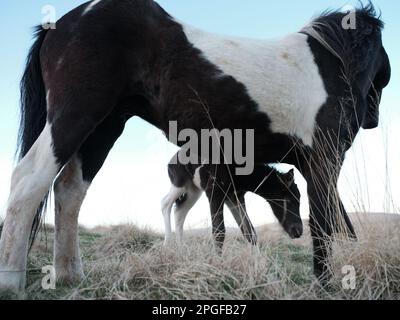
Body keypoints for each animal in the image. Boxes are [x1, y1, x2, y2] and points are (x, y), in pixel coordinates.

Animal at [161, 150, 302, 248]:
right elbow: (219, 232)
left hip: (193, 191)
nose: (298, 231)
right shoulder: (214, 192)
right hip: (180, 183)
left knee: (180, 211)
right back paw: (167, 245)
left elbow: (249, 231)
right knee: (165, 204)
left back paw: (181, 248)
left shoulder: (234, 197)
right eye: (290, 199)